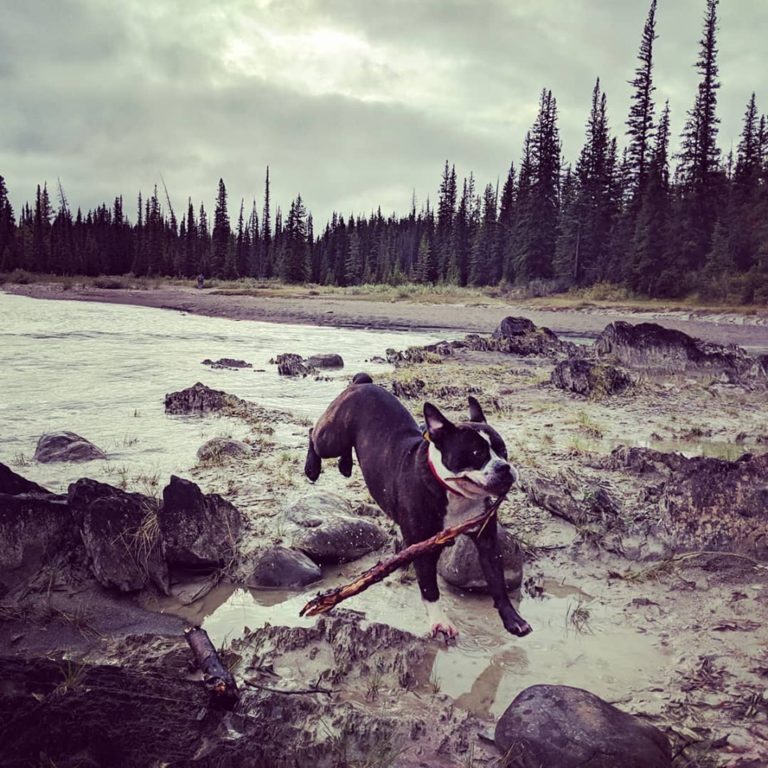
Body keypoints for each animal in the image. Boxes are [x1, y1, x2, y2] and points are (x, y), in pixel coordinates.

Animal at [304, 376, 532, 640]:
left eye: (504, 451)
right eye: (477, 453)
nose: (504, 467)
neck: (454, 493)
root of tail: (362, 383)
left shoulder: (487, 541)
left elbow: (497, 582)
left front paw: (513, 619)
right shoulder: (422, 546)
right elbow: (429, 587)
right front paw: (440, 622)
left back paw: (345, 466)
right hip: (332, 437)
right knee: (314, 435)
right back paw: (312, 468)